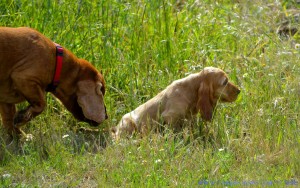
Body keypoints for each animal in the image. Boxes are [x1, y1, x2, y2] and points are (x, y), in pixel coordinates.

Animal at [111, 67, 240, 139]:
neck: (191, 90)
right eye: (225, 82)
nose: (239, 91)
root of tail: (115, 130)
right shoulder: (170, 116)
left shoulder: (189, 117)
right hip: (128, 123)